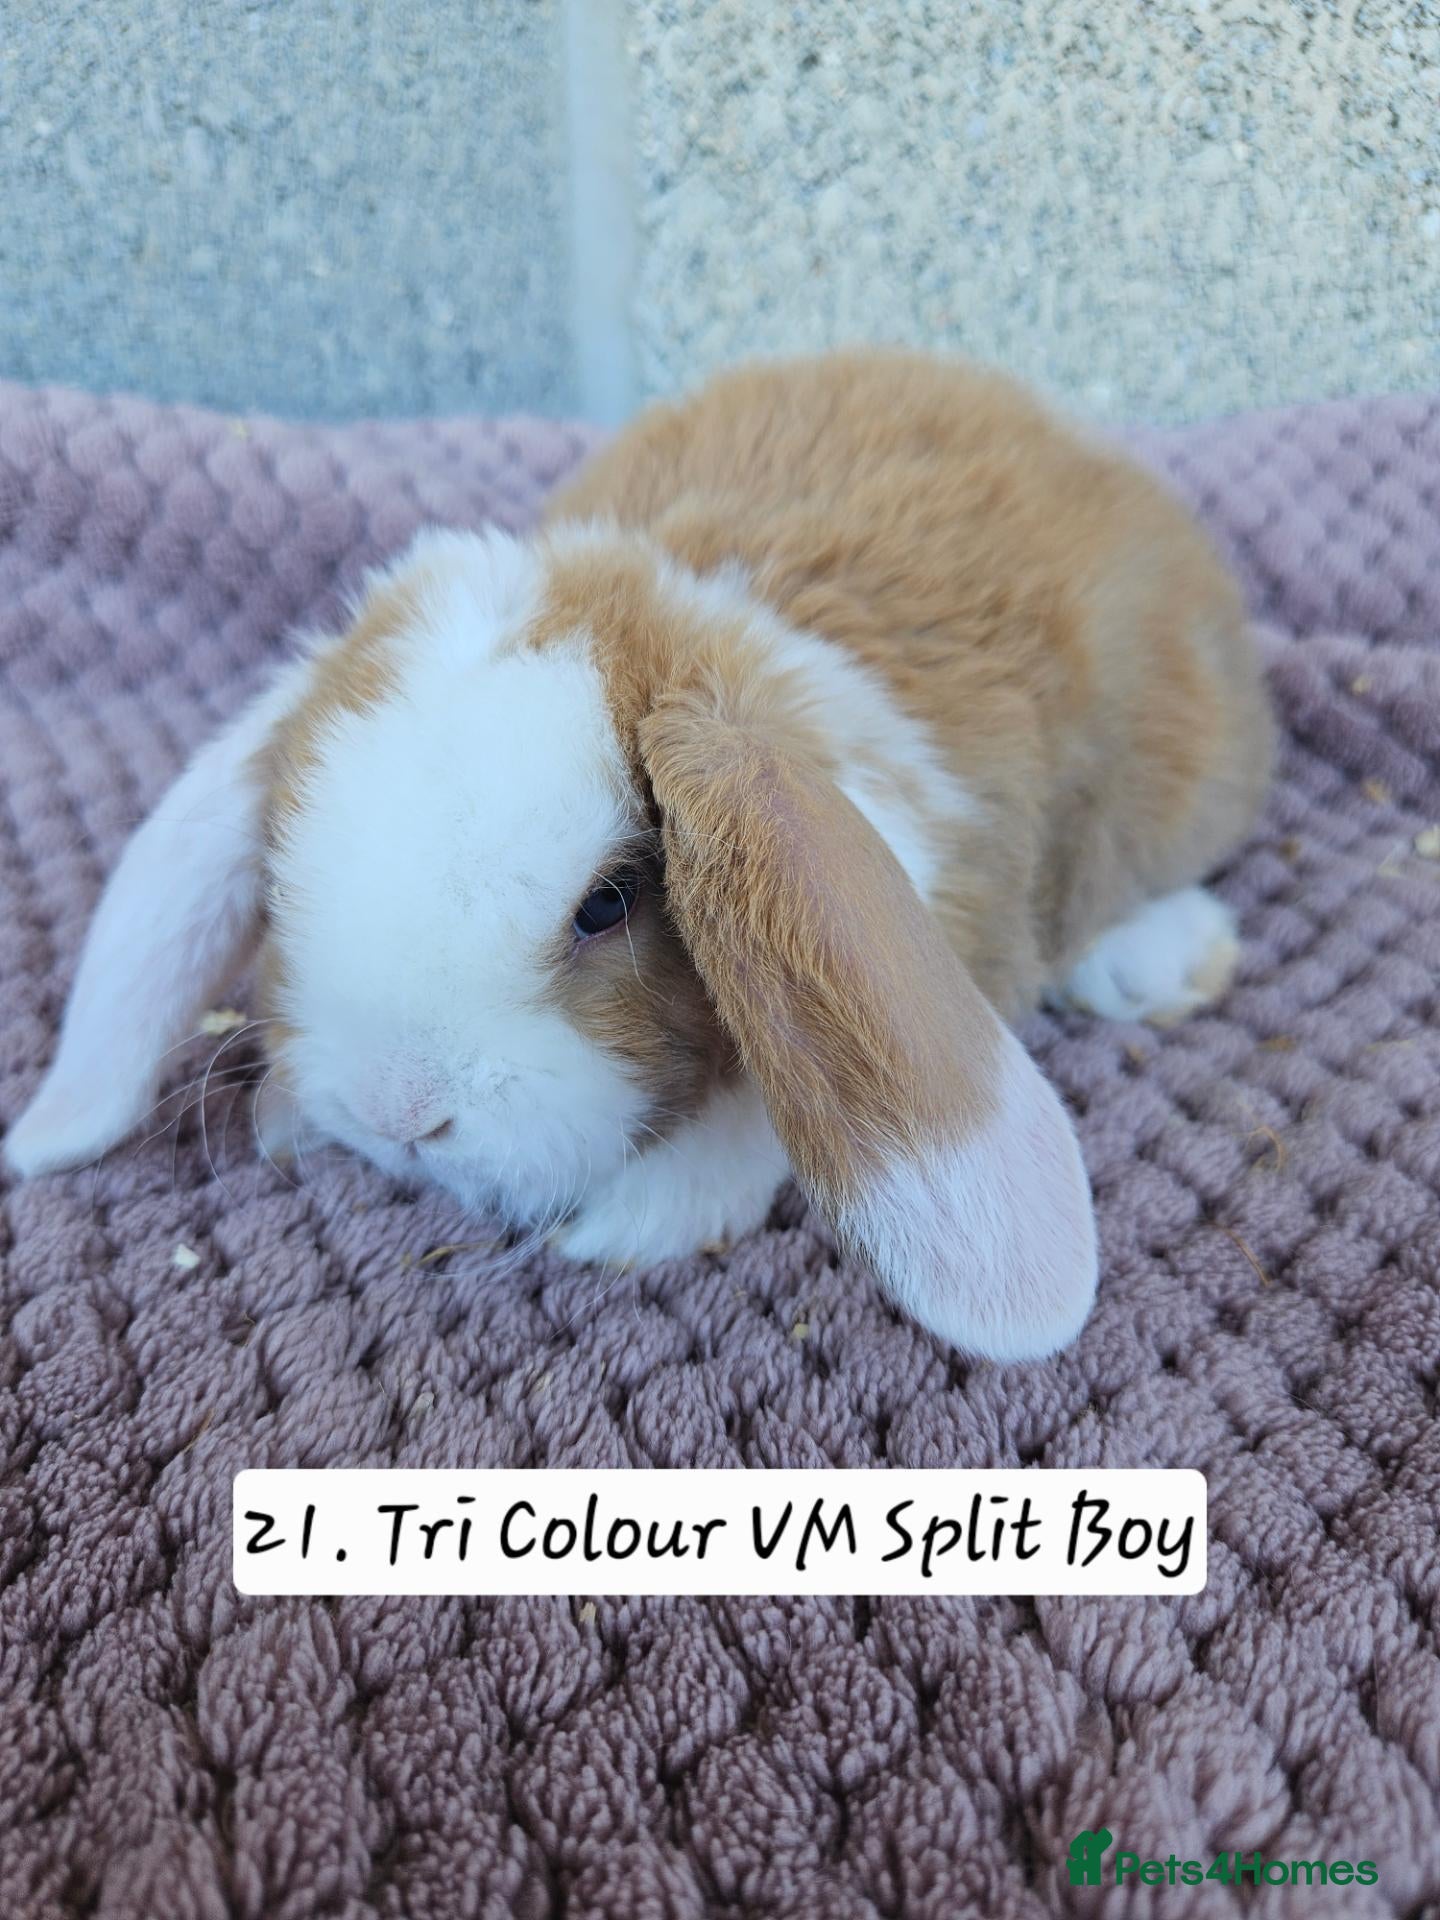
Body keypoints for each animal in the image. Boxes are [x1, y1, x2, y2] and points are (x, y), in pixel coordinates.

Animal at [4, 350, 1274, 1362]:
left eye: (606, 904)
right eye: (282, 868)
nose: (398, 1113)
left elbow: (768, 1107)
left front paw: (643, 1215)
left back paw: (1161, 962)